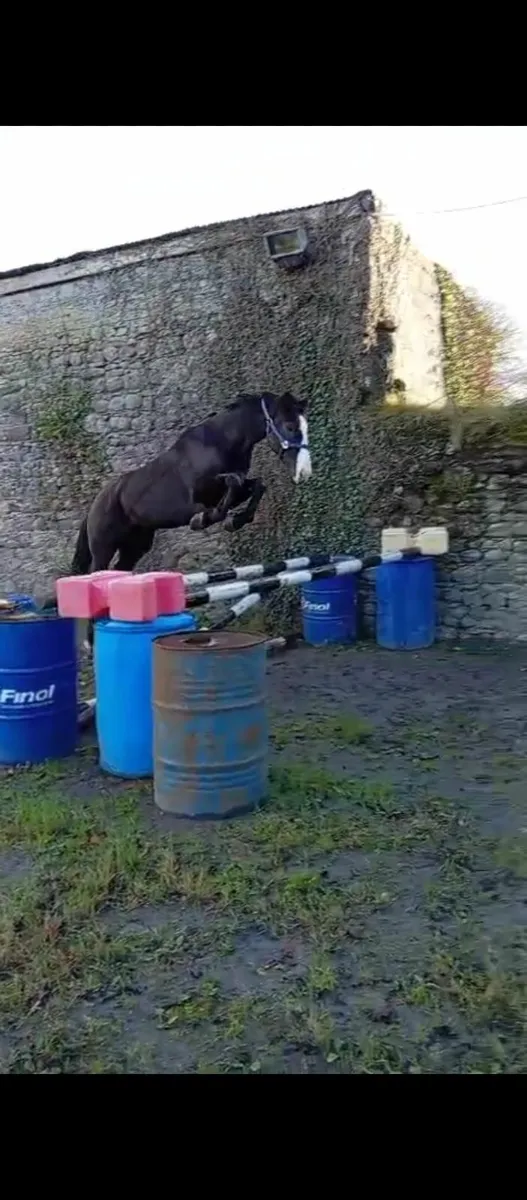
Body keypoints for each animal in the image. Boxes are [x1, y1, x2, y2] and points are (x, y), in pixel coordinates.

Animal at [60, 390, 312, 648]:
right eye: (290, 426)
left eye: (305, 426)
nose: (304, 473)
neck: (221, 442)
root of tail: (95, 503)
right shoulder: (203, 492)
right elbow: (230, 484)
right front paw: (204, 519)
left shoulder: (237, 489)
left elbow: (255, 485)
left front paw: (235, 521)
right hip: (104, 548)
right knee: (95, 577)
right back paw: (91, 641)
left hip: (135, 547)